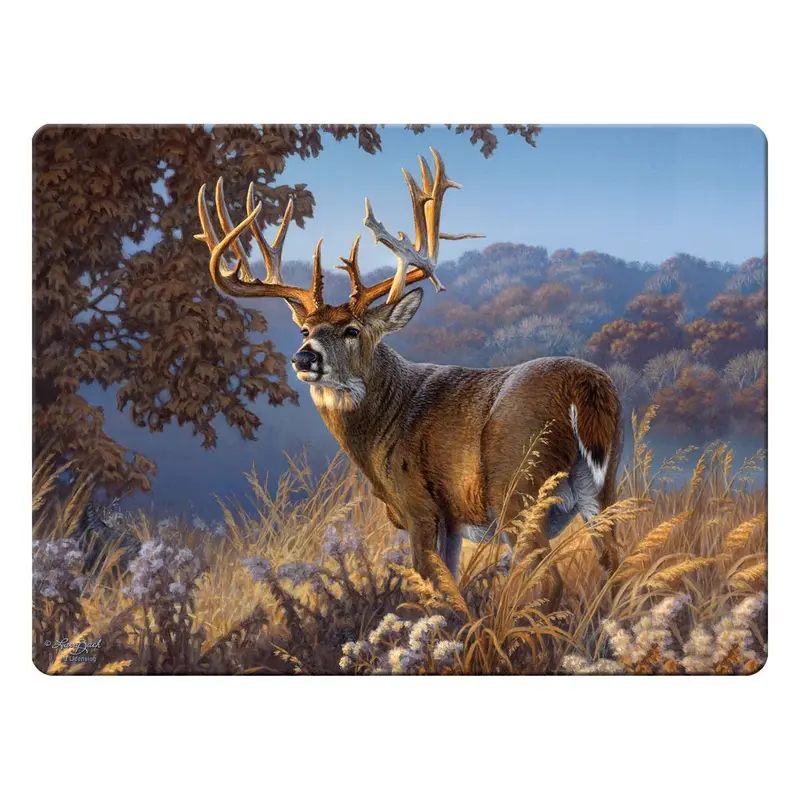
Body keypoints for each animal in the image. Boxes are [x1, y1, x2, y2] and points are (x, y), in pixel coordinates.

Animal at [195, 148, 623, 608]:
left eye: (352, 330)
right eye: (304, 330)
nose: (304, 357)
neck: (387, 421)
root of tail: (583, 384)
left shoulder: (419, 505)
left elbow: (433, 587)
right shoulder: (452, 523)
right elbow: (452, 584)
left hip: (519, 489)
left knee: (548, 579)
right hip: (603, 486)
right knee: (616, 566)